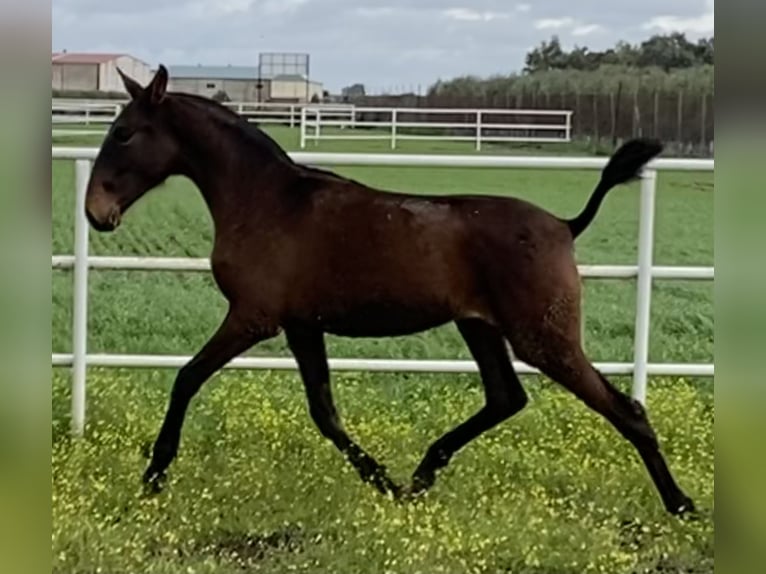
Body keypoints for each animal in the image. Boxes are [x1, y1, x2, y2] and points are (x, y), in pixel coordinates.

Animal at [84, 66, 696, 516]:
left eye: (124, 132)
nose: (96, 213)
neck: (267, 201)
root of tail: (566, 226)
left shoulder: (253, 317)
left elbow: (186, 378)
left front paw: (153, 475)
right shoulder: (301, 324)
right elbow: (324, 412)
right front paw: (383, 482)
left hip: (544, 337)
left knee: (625, 408)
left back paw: (680, 504)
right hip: (481, 328)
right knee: (506, 397)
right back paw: (421, 476)